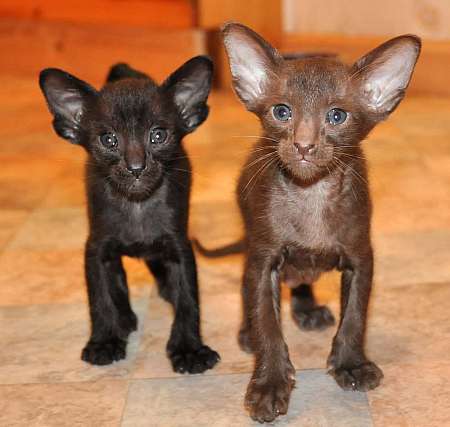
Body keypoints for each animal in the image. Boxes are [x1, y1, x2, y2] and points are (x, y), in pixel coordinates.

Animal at [39, 57, 219, 374]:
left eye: (158, 135)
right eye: (108, 139)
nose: (136, 167)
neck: (137, 206)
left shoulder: (180, 247)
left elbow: (189, 298)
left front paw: (189, 349)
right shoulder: (96, 248)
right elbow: (99, 296)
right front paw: (104, 341)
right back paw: (124, 318)